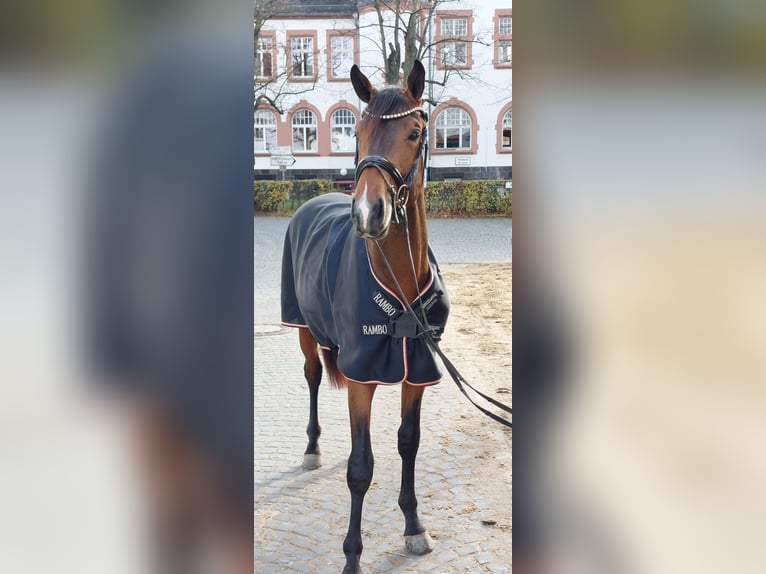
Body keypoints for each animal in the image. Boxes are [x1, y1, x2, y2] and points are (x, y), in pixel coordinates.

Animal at [280, 60, 450, 574]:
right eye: (356, 132)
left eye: (414, 132)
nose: (368, 213)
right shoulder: (364, 371)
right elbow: (361, 468)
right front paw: (352, 557)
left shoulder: (416, 369)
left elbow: (407, 442)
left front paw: (414, 525)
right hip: (305, 331)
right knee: (314, 377)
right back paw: (313, 447)